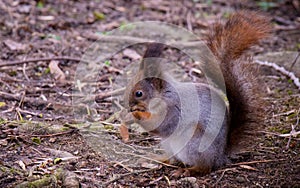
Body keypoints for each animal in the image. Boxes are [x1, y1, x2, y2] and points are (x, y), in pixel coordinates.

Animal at [124, 10, 272, 175]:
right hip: (169, 144)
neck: (163, 95)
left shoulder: (174, 108)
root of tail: (220, 156)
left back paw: (188, 171)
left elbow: (161, 125)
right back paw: (161, 159)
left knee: (205, 167)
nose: (129, 106)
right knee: (174, 159)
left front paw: (135, 115)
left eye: (139, 93)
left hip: (194, 142)